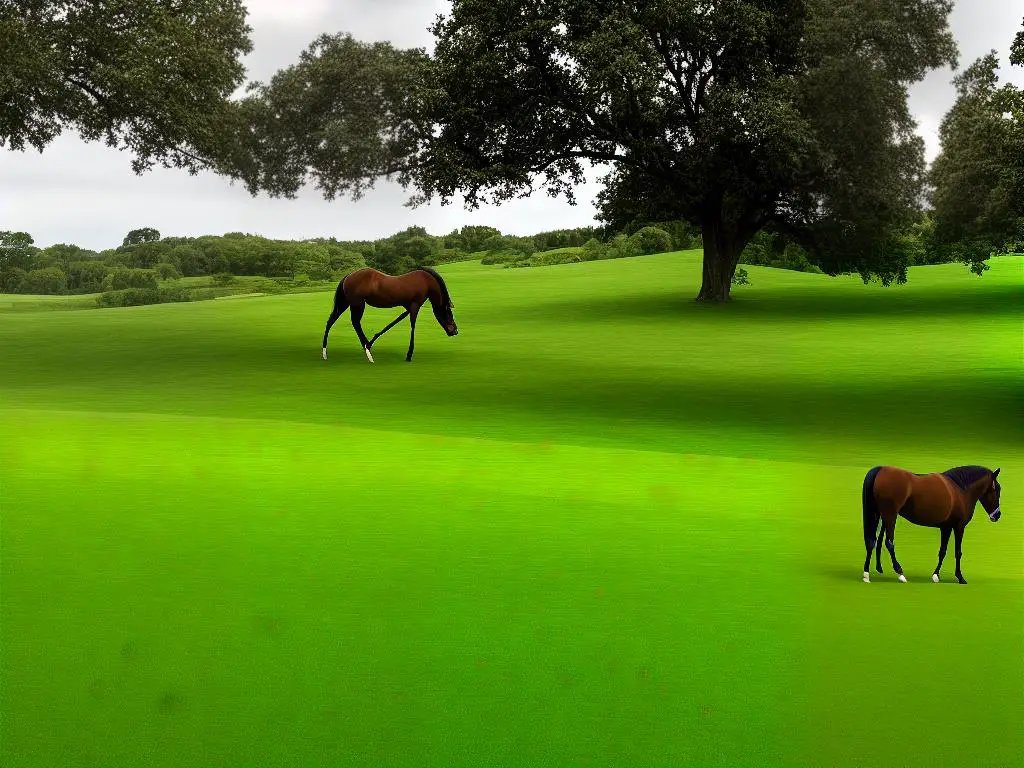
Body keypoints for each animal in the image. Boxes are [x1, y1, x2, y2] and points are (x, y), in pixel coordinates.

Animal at [323, 266, 460, 364]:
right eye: (448, 314)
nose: (455, 331)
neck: (426, 282)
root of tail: (348, 276)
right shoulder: (415, 305)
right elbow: (412, 325)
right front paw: (409, 354)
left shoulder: (408, 306)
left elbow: (396, 321)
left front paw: (372, 341)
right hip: (358, 304)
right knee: (355, 322)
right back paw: (367, 352)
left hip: (346, 303)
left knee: (331, 321)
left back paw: (327, 353)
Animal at [860, 466, 1003, 585]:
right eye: (997, 489)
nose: (997, 515)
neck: (960, 490)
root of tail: (880, 470)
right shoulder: (959, 527)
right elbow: (958, 552)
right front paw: (960, 577)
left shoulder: (946, 527)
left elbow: (943, 551)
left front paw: (936, 575)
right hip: (890, 515)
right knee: (889, 542)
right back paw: (900, 573)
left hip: (879, 514)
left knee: (872, 541)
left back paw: (867, 574)